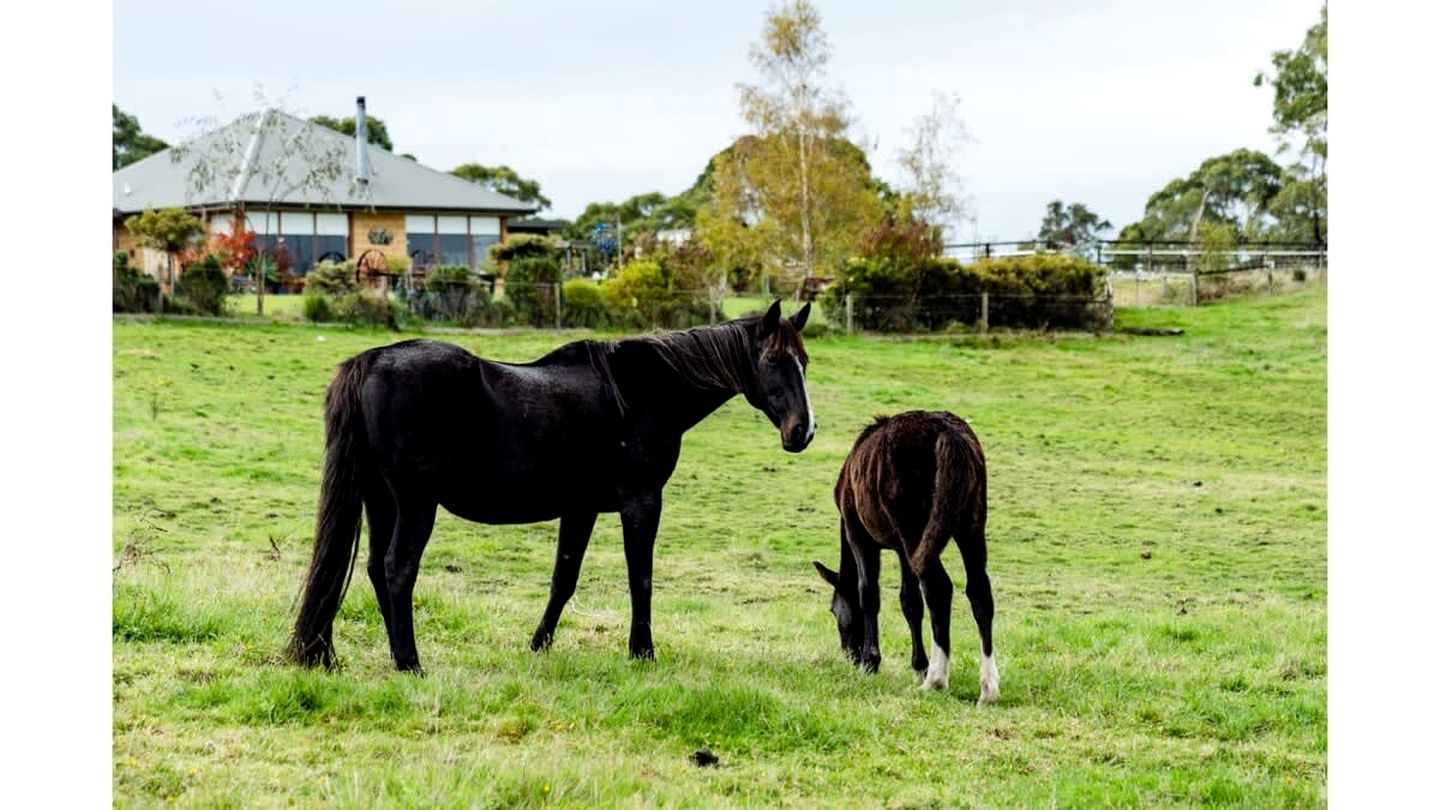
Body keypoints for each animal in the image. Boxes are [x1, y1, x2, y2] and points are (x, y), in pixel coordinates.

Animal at [287, 300, 816, 672]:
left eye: (805, 362)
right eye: (773, 359)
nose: (803, 432)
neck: (642, 394)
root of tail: (373, 359)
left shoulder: (580, 508)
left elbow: (564, 579)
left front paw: (537, 645)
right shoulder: (642, 503)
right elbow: (640, 579)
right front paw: (642, 652)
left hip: (382, 501)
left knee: (376, 569)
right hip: (415, 503)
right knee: (398, 569)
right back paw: (410, 663)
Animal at [812, 410, 999, 705]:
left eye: (833, 610)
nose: (849, 655)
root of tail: (947, 433)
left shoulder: (859, 535)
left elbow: (868, 593)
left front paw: (871, 661)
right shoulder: (902, 550)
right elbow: (910, 603)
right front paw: (918, 667)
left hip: (916, 531)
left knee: (938, 588)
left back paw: (937, 679)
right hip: (969, 527)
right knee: (979, 591)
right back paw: (988, 688)